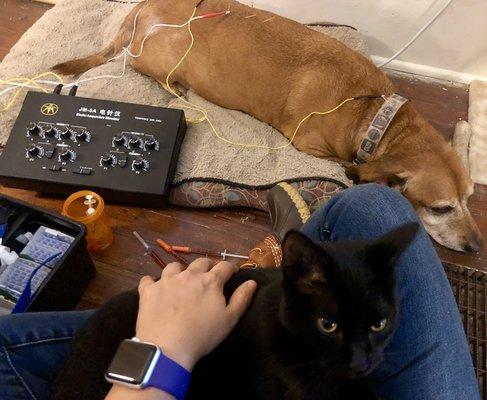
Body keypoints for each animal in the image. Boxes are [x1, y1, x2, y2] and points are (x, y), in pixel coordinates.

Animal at [54, 0, 484, 253]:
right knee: (143, 68)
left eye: (468, 198)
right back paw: (175, 88)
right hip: (159, 59)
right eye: (441, 208)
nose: (477, 247)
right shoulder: (313, 146)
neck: (374, 115)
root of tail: (142, 7)